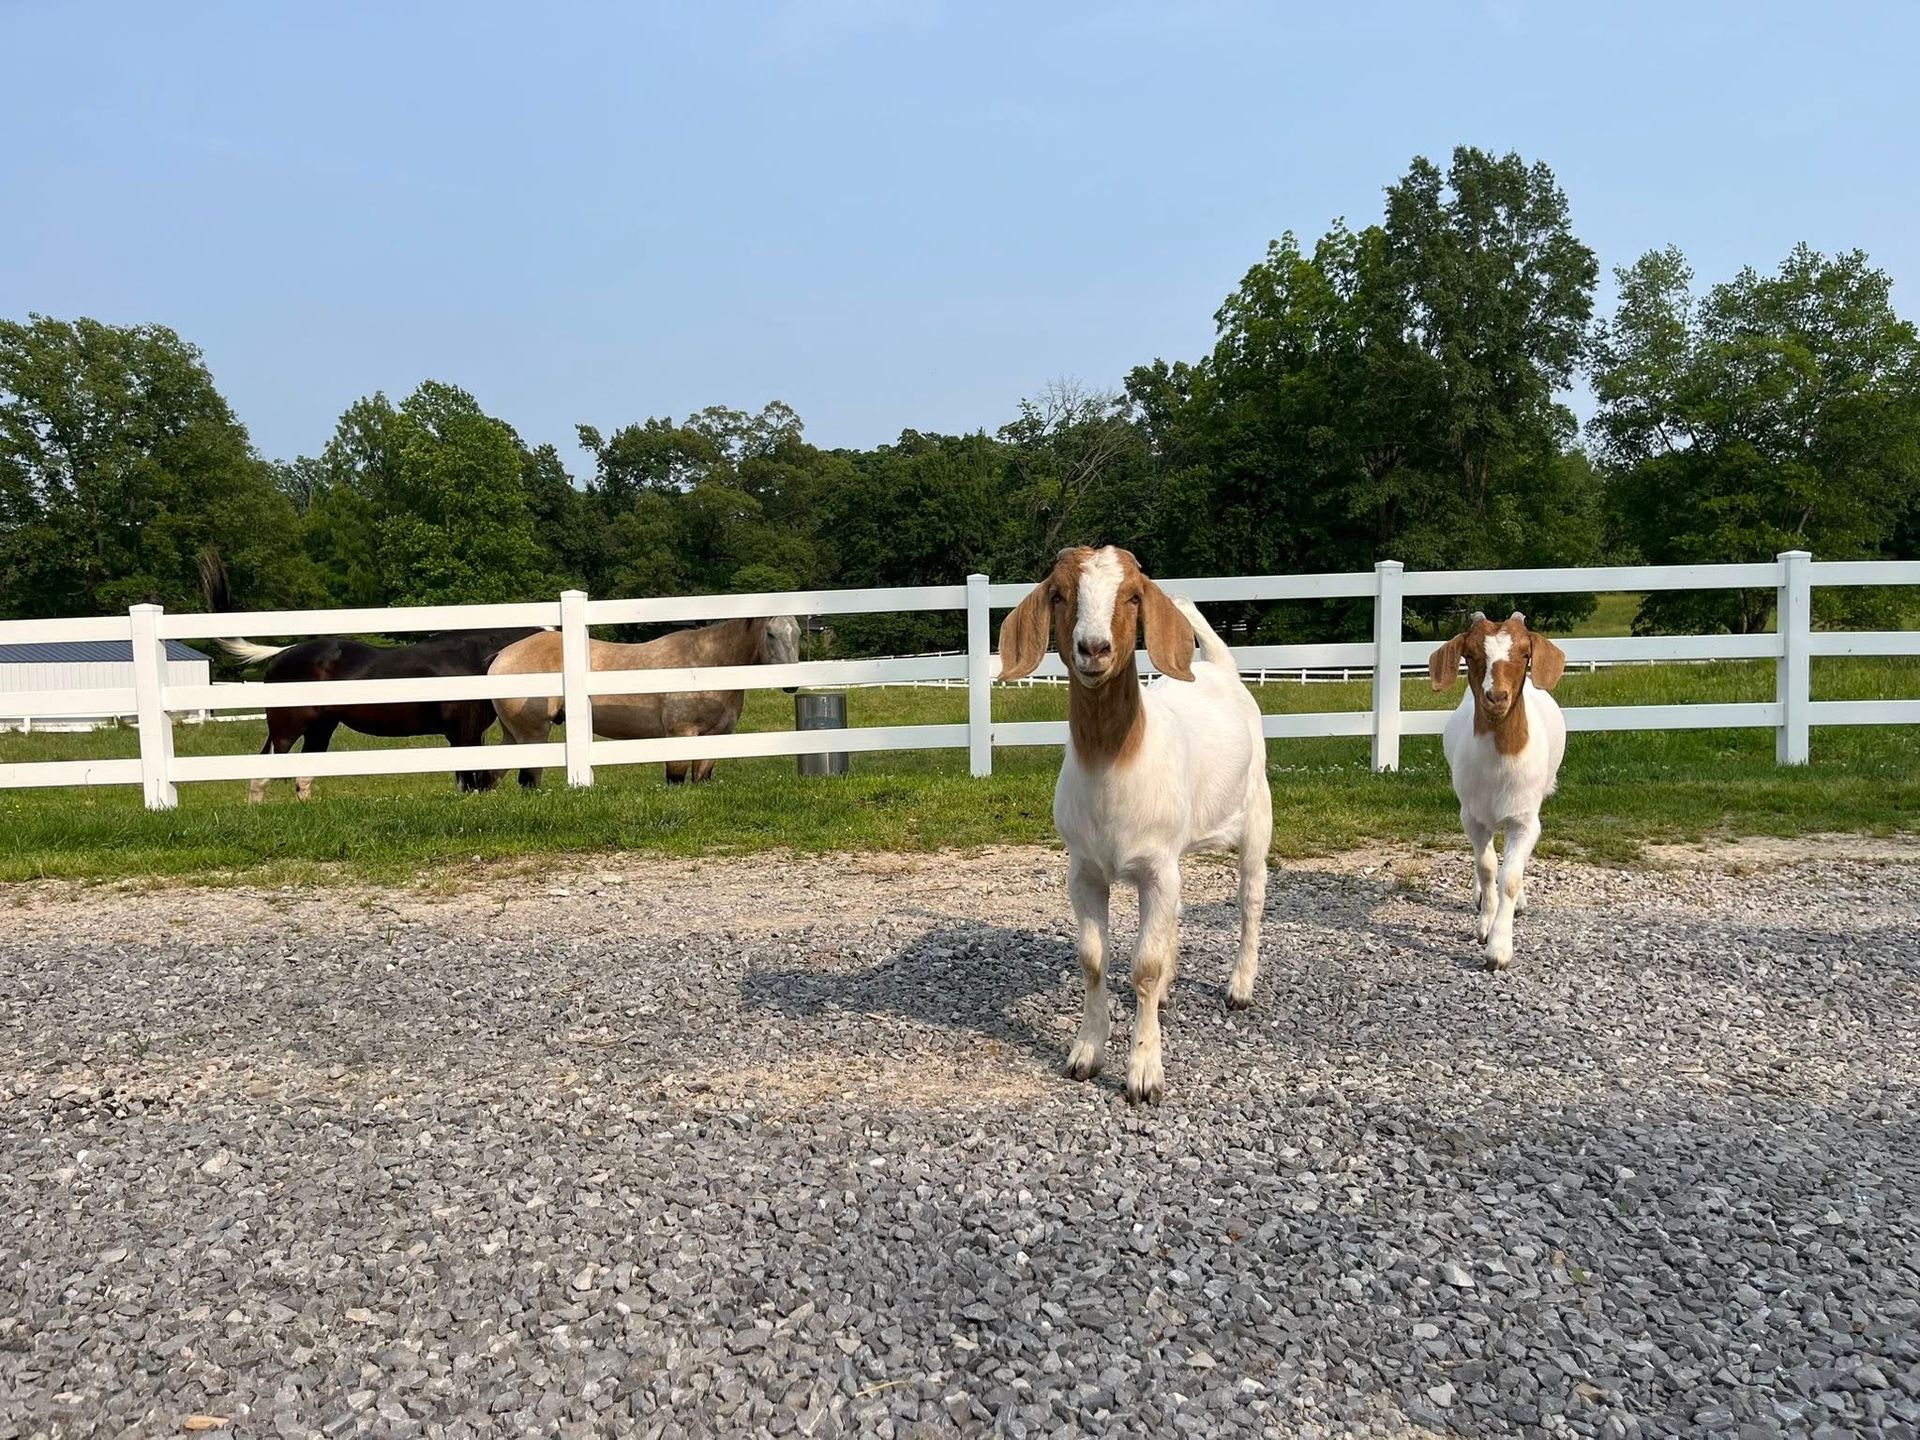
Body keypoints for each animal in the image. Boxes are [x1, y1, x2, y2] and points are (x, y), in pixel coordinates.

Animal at [998, 546, 1273, 1104]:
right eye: (1059, 594)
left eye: (1131, 596)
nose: (1094, 648)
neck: (1115, 764)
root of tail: (1221, 670)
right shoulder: (1084, 871)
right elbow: (1093, 958)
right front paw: (1085, 1054)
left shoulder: (1155, 868)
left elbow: (1142, 966)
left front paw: (1144, 1074)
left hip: (1256, 814)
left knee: (1250, 899)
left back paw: (1240, 987)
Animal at [1428, 611, 1569, 971]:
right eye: (1470, 654)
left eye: (1524, 653)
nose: (1496, 697)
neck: (1500, 762)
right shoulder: (1472, 816)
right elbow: (1488, 867)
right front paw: (1484, 926)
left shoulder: (1524, 820)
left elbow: (1510, 877)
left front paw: (1499, 949)